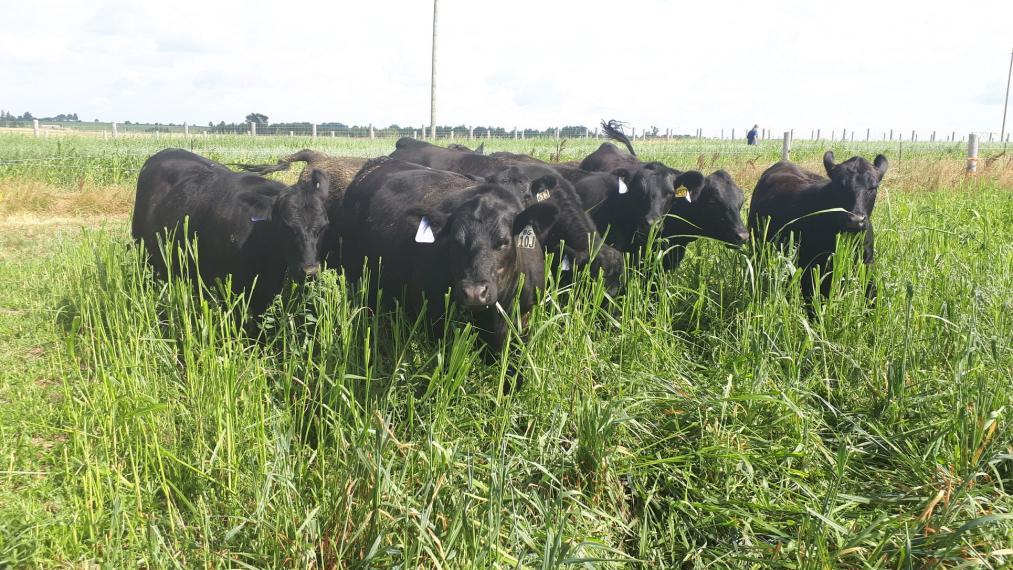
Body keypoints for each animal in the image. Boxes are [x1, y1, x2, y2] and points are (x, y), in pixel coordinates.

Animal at [133, 146, 328, 315]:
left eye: (323, 226)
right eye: (286, 226)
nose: (309, 271)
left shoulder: (267, 289)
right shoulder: (230, 287)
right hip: (144, 255)